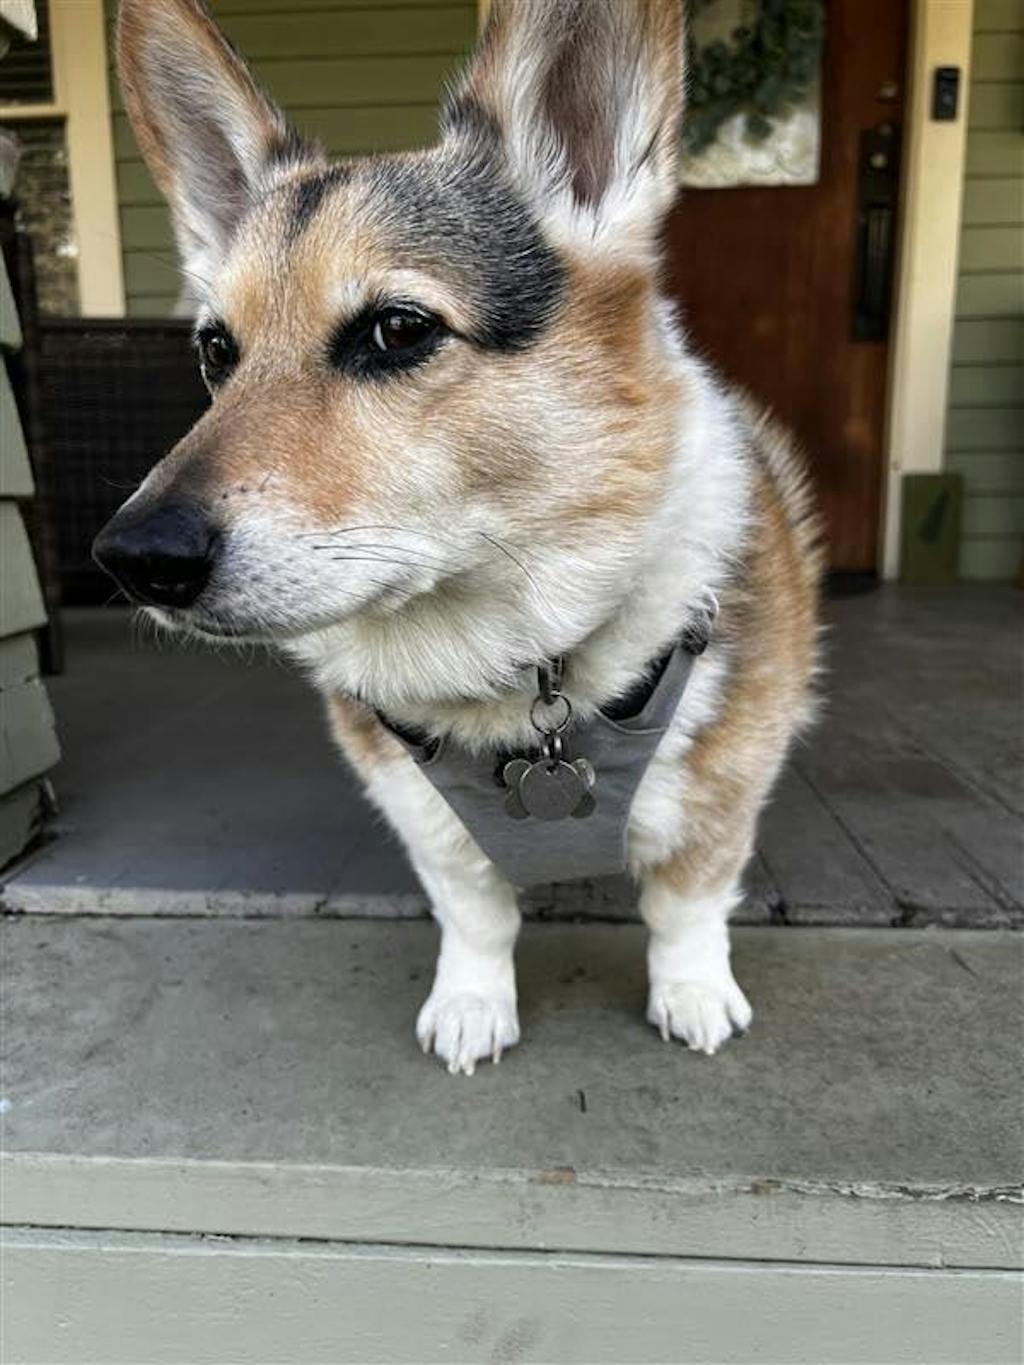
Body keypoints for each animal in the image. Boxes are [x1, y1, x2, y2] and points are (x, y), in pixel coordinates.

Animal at [94, 0, 822, 1075]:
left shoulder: (718, 793)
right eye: (215, 351)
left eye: (397, 330)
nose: (135, 560)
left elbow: (686, 902)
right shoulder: (426, 820)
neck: (517, 667)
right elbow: (475, 911)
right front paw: (473, 1004)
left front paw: (692, 994)